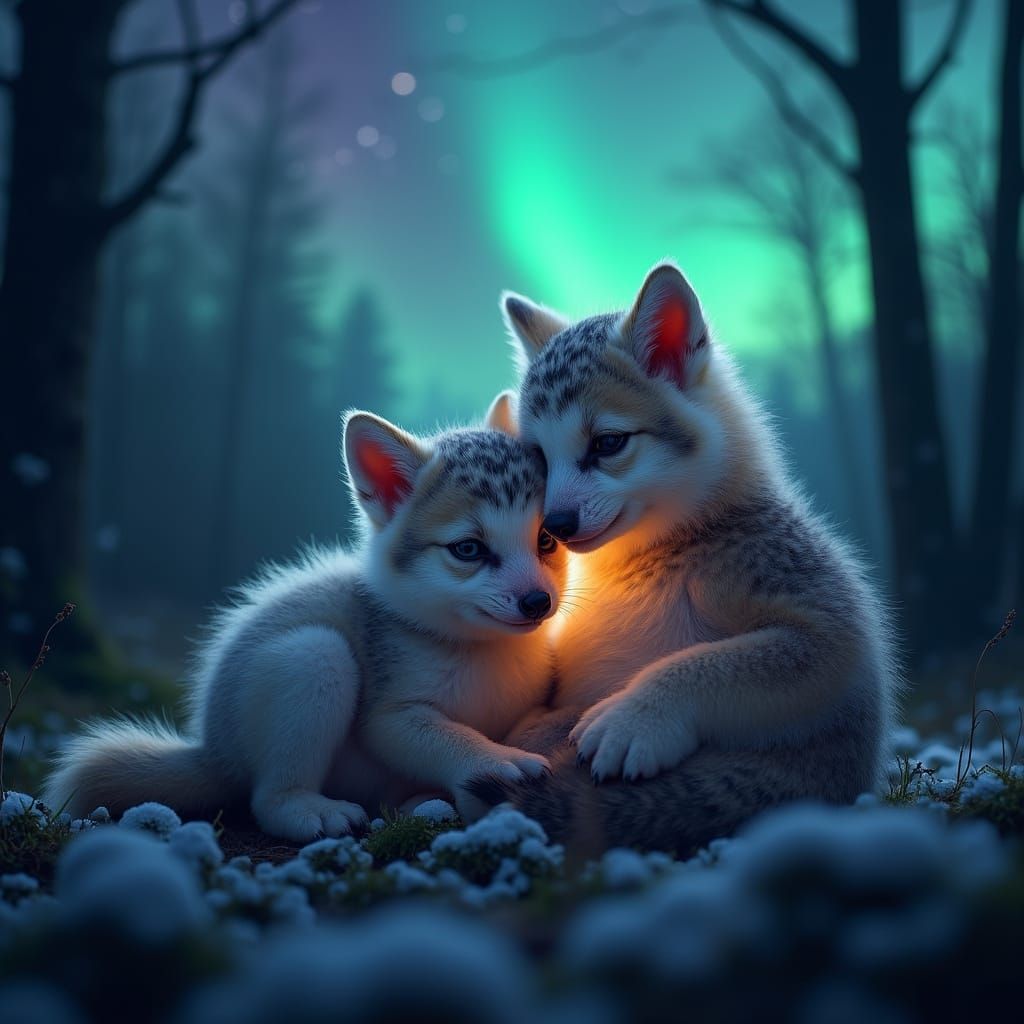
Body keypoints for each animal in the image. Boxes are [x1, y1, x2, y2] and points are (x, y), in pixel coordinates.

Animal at [44, 402, 566, 841]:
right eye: (468, 549)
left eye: (546, 539)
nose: (537, 602)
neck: (479, 650)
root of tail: (212, 751)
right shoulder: (387, 717)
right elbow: (444, 736)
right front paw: (496, 758)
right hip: (312, 659)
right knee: (268, 796)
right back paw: (308, 808)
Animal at [473, 262, 898, 856]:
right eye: (539, 455)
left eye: (608, 443)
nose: (555, 526)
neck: (650, 560)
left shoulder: (836, 633)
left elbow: (703, 663)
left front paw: (637, 715)